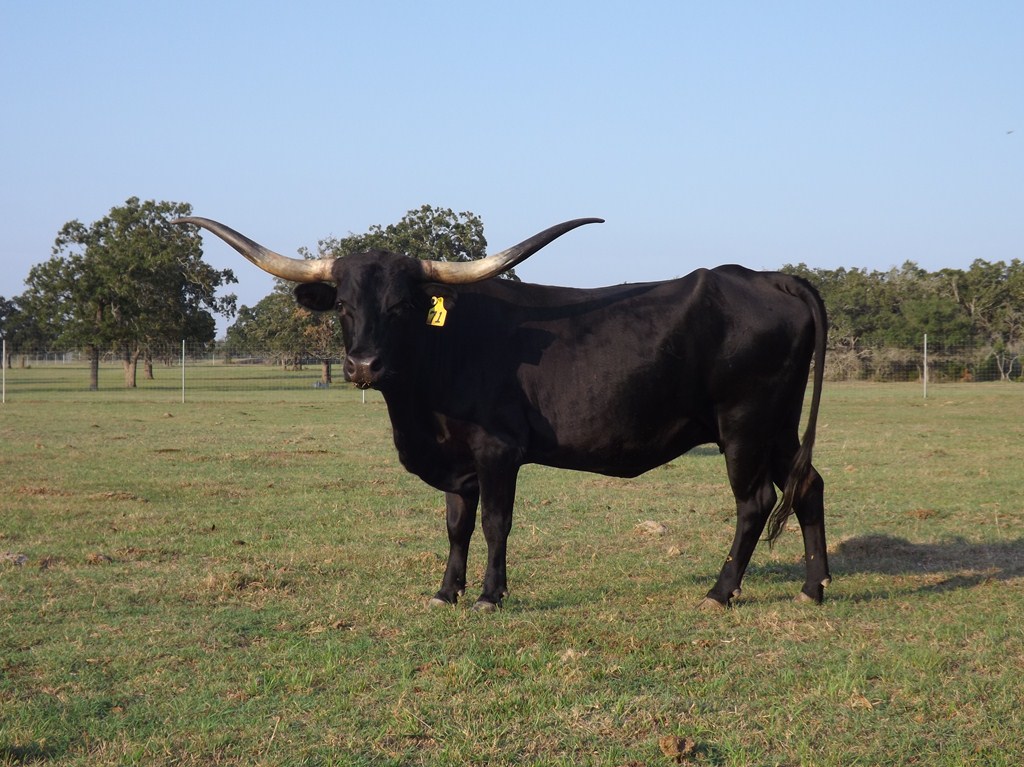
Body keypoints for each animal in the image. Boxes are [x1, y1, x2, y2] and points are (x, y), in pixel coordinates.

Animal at [172, 216, 830, 611]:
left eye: (403, 306)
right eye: (342, 307)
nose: (362, 366)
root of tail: (767, 277)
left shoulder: (498, 452)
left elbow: (494, 523)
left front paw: (490, 595)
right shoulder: (457, 459)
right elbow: (455, 525)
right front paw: (445, 592)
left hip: (742, 424)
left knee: (756, 502)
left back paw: (720, 591)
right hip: (776, 425)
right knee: (808, 487)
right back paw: (813, 586)